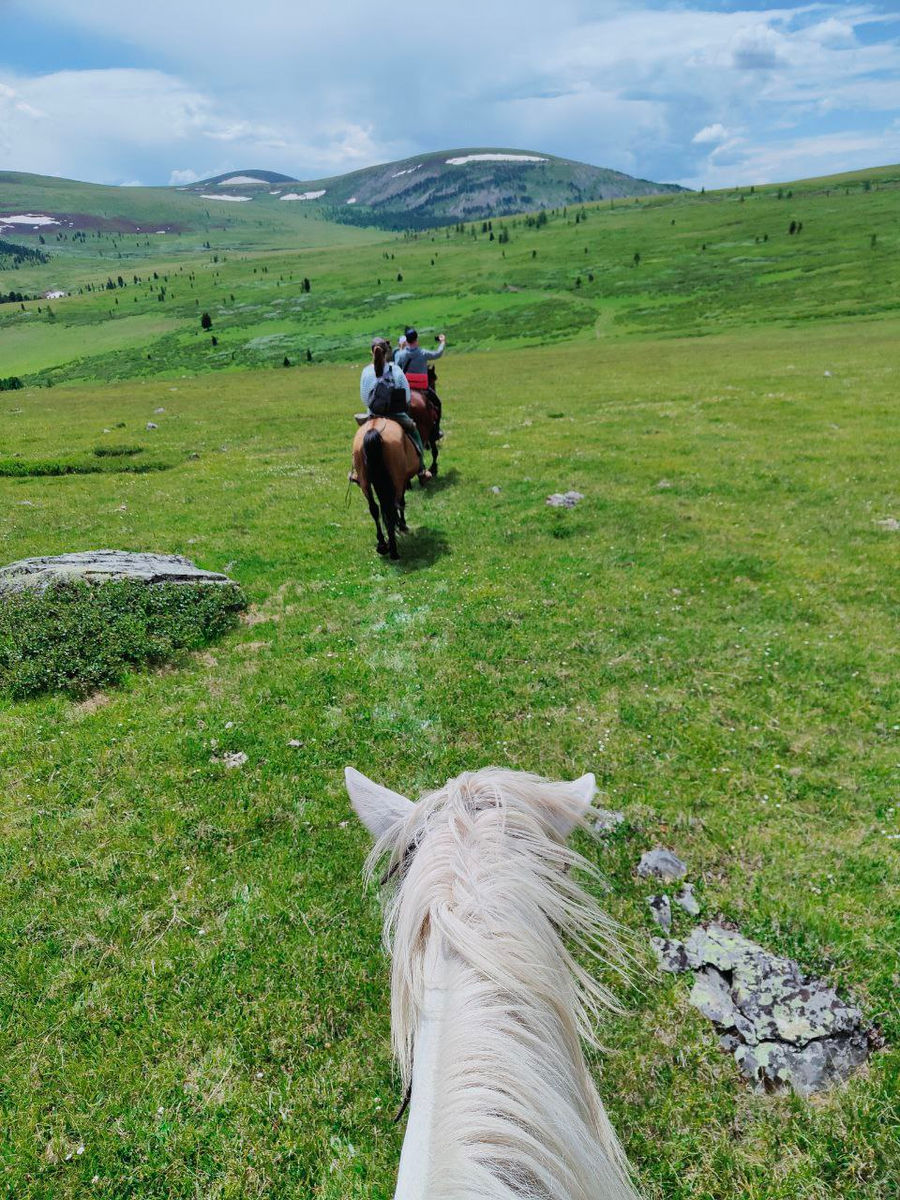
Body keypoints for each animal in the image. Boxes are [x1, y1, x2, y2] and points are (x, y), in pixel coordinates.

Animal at [355, 417, 422, 556]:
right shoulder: (402, 481)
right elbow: (400, 503)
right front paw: (402, 525)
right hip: (397, 481)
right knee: (392, 508)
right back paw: (393, 550)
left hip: (365, 483)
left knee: (374, 509)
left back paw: (382, 543)